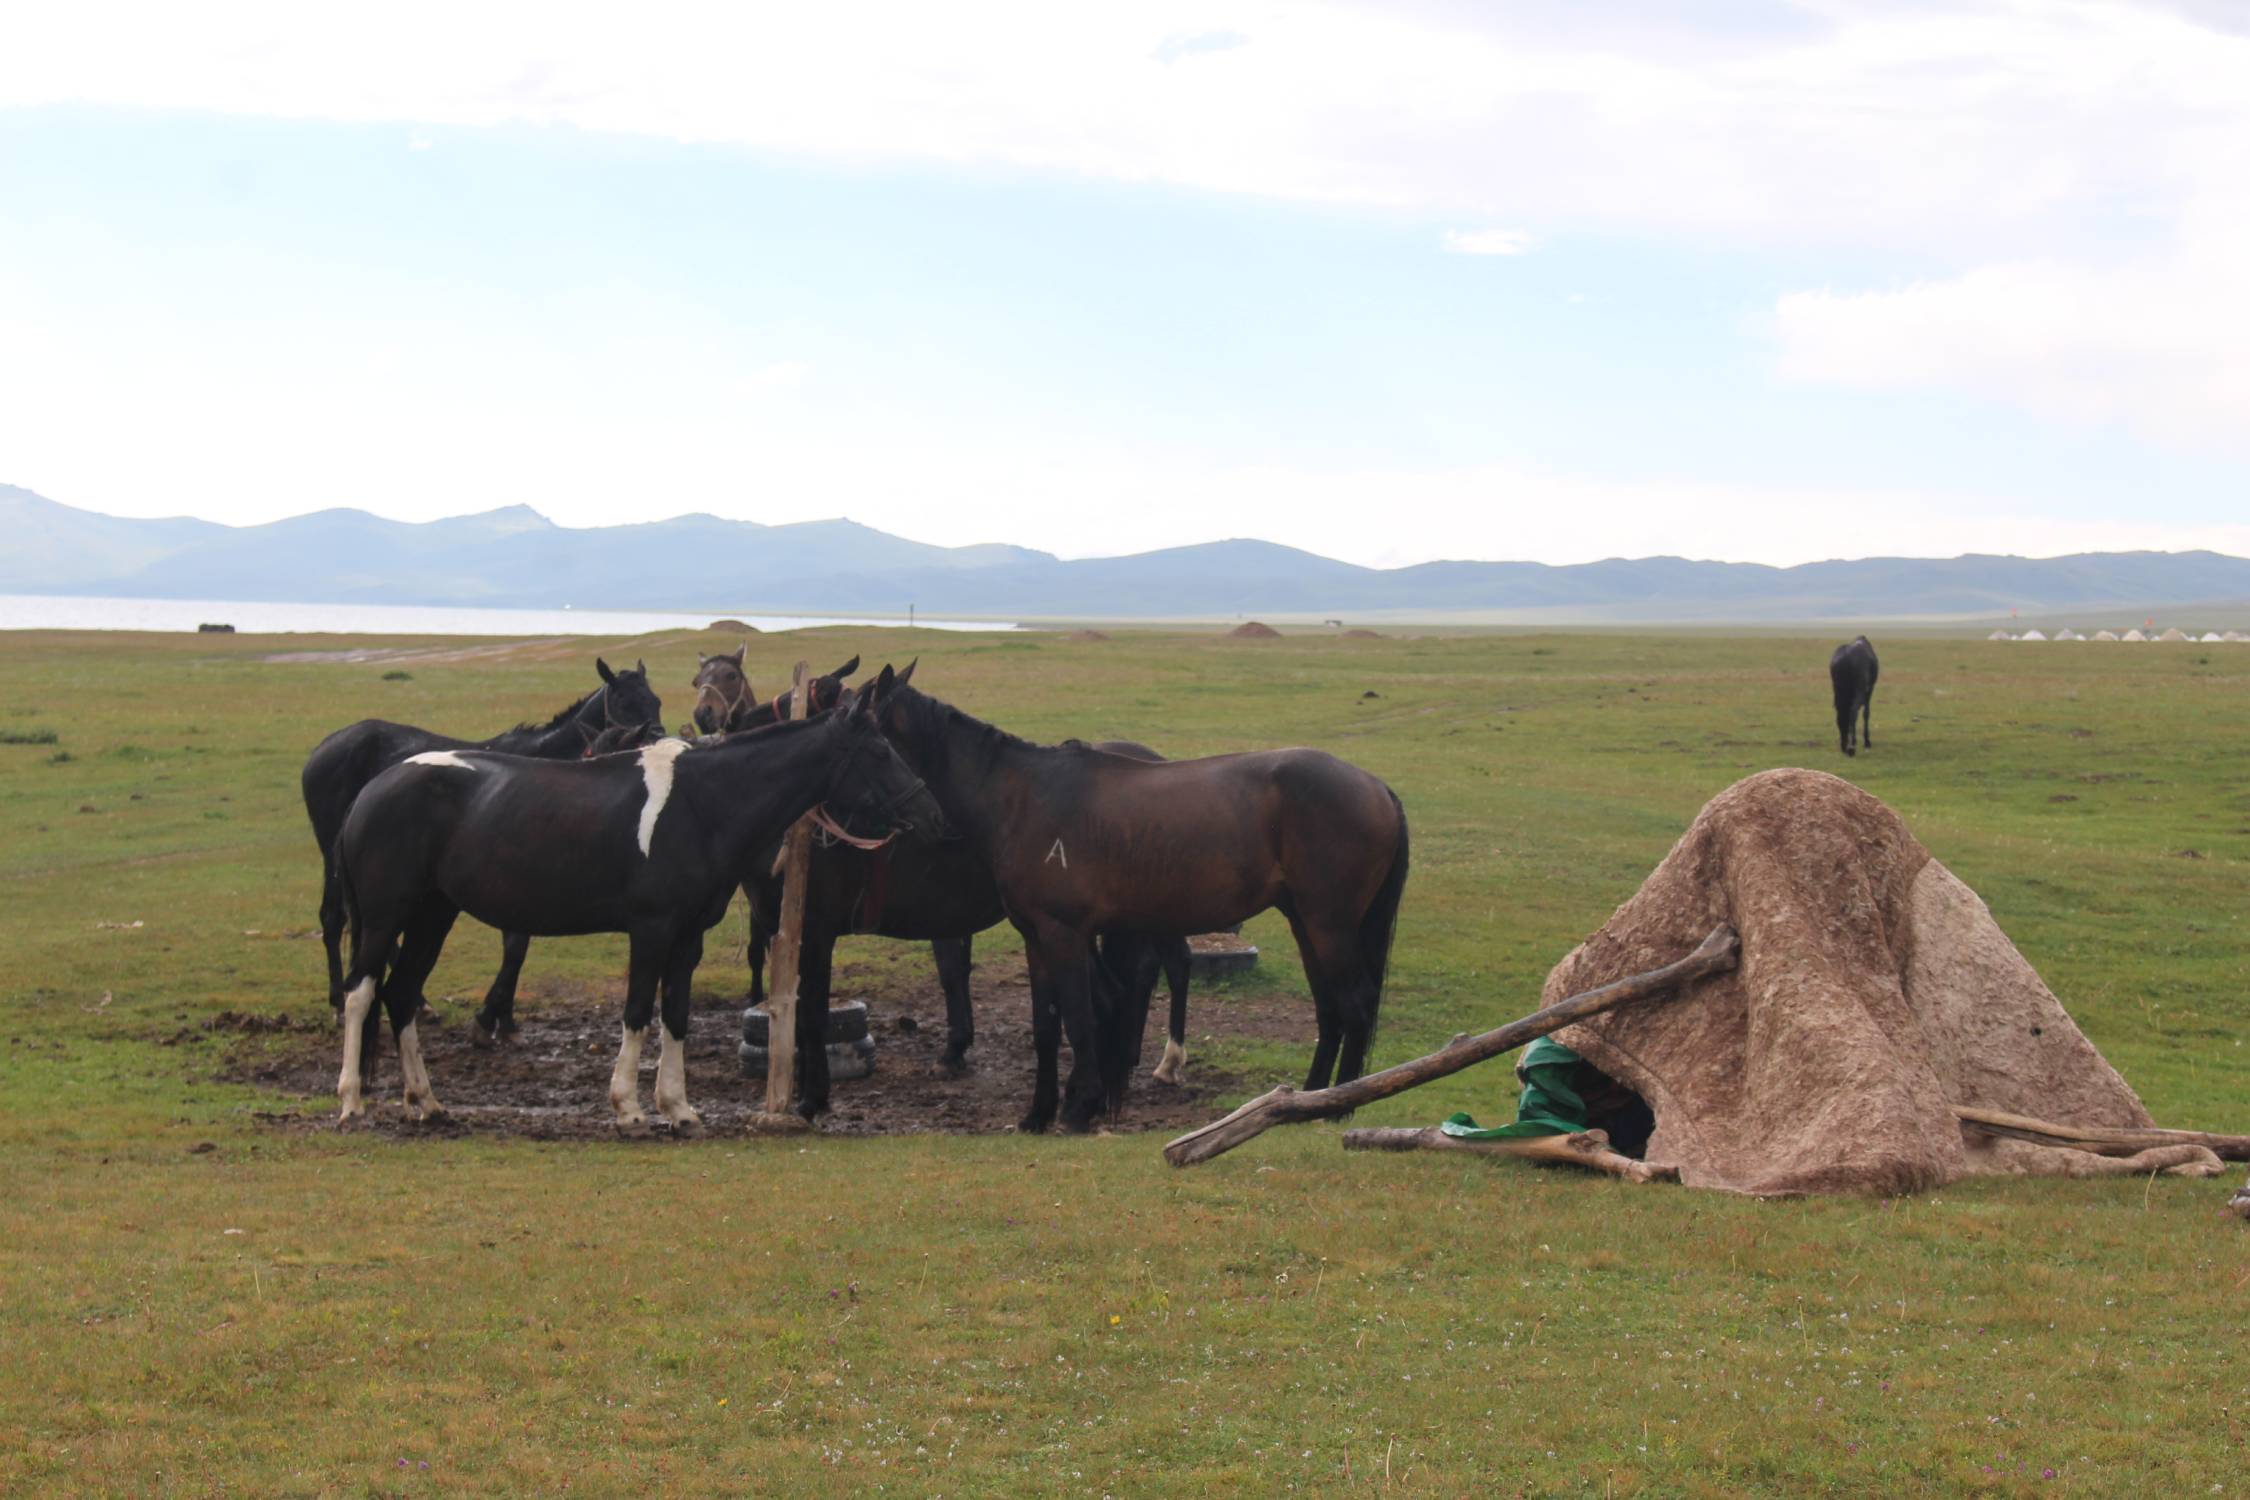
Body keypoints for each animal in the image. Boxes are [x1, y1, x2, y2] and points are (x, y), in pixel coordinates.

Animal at [300, 658, 665, 1031]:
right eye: (624, 703)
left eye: (656, 701)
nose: (657, 741)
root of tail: (324, 747)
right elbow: (516, 945)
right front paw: (491, 1015)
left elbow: (519, 944)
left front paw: (503, 1015)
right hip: (340, 861)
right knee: (334, 918)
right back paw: (340, 1001)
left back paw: (419, 1002)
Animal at [330, 684, 944, 1127]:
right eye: (880, 751)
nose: (929, 812)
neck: (700, 803)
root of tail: (369, 792)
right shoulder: (650, 930)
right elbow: (636, 1012)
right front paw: (628, 1107)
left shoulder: (688, 937)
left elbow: (675, 1015)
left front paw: (678, 1108)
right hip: (385, 918)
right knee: (361, 994)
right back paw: (352, 1101)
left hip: (433, 916)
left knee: (400, 995)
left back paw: (426, 1101)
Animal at [861, 665, 1411, 1132]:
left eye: (872, 738)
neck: (1020, 798)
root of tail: (1377, 787)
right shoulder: (1036, 938)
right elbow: (1046, 1027)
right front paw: (1038, 1114)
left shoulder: (1065, 934)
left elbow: (1079, 1020)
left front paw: (1077, 1109)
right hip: (1306, 922)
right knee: (1329, 1009)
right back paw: (1305, 1102)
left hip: (1328, 924)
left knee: (1354, 1005)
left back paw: (1337, 1107)